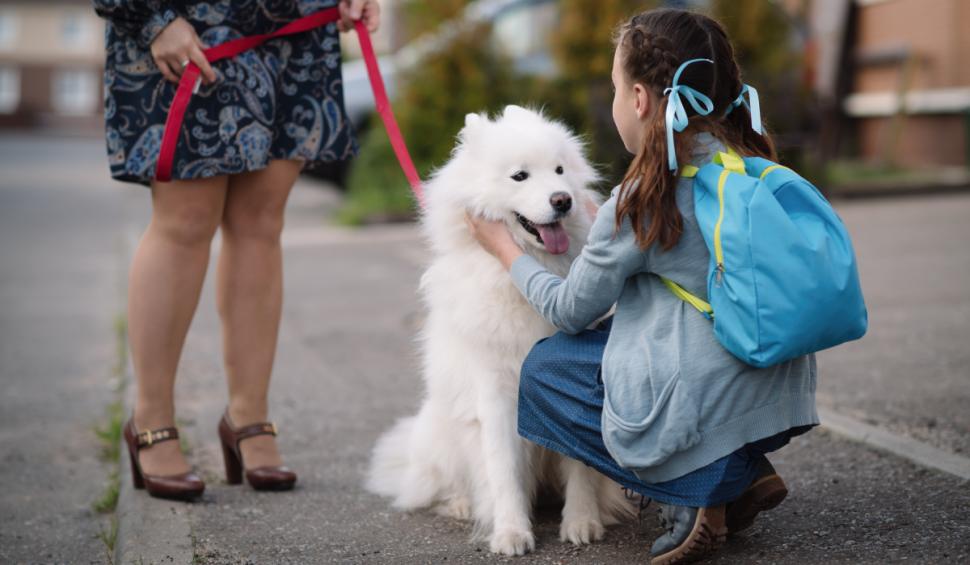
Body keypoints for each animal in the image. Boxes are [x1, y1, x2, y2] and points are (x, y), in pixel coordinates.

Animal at [364, 106, 636, 556]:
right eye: (519, 176)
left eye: (560, 171)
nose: (562, 200)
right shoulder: (494, 392)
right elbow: (503, 470)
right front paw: (511, 532)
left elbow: (579, 468)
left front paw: (581, 522)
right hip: (443, 430)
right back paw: (461, 504)